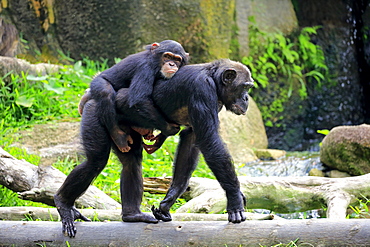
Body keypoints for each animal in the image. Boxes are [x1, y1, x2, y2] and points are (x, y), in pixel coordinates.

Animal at [54, 40, 188, 237]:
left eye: (177, 59)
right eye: (167, 56)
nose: (172, 64)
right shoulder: (145, 68)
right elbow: (139, 100)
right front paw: (170, 129)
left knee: (131, 162)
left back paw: (132, 215)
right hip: (93, 115)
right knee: (95, 162)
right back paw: (63, 204)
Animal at [115, 59, 254, 224]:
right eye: (244, 87)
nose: (246, 98)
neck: (214, 80)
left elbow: (191, 139)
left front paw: (168, 200)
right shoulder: (202, 89)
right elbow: (210, 141)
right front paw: (235, 199)